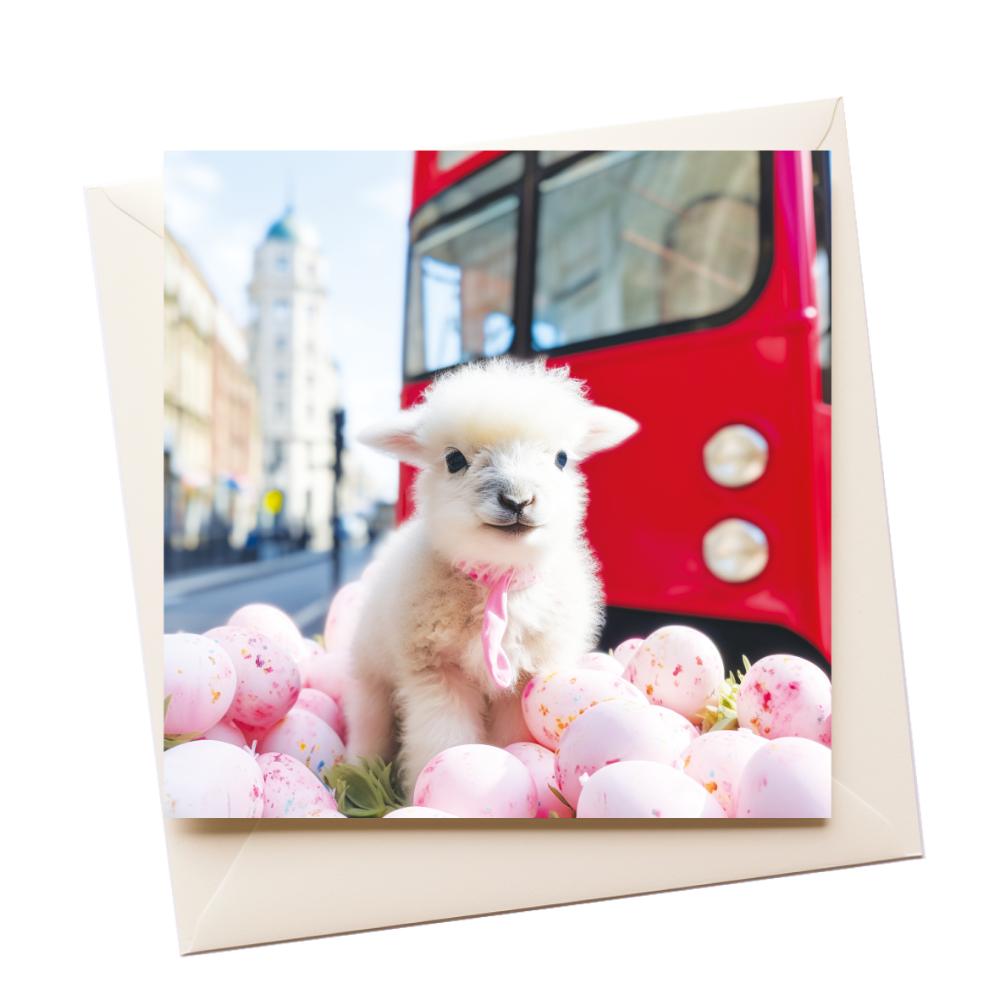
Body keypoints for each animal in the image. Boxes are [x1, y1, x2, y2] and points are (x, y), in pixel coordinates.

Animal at [343, 358, 639, 797]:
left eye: (561, 459)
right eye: (453, 460)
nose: (517, 500)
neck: (498, 581)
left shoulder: (524, 681)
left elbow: (510, 740)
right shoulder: (436, 672)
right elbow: (443, 740)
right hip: (372, 680)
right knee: (368, 728)